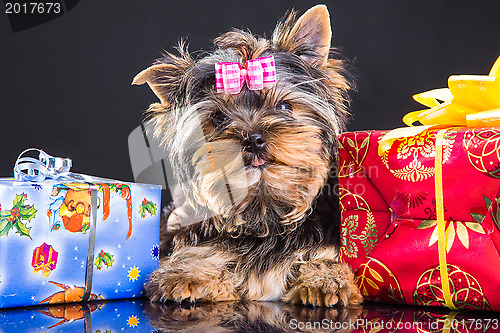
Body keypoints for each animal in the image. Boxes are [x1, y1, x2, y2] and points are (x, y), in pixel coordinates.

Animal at [133, 5, 360, 306]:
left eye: (284, 106)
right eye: (218, 118)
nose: (253, 139)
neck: (264, 209)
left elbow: (324, 258)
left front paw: (326, 280)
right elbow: (199, 253)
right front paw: (187, 273)